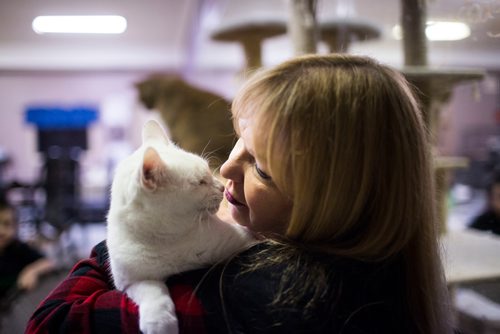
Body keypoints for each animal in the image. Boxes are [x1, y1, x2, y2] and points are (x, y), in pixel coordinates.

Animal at [107, 120, 252, 334]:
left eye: (209, 172)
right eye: (201, 182)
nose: (222, 187)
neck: (170, 238)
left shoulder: (242, 238)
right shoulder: (132, 281)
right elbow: (152, 293)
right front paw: (159, 322)